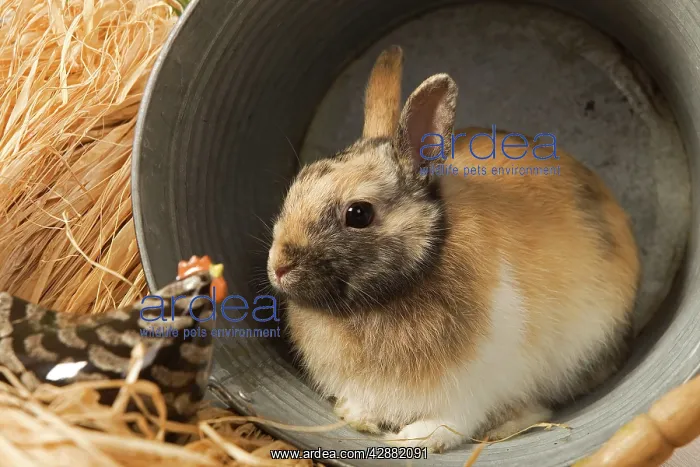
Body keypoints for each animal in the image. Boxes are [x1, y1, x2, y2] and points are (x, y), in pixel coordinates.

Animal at [266, 45, 640, 453]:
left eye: (359, 213)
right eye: (298, 183)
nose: (279, 267)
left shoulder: (474, 387)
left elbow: (455, 420)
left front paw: (414, 438)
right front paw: (356, 416)